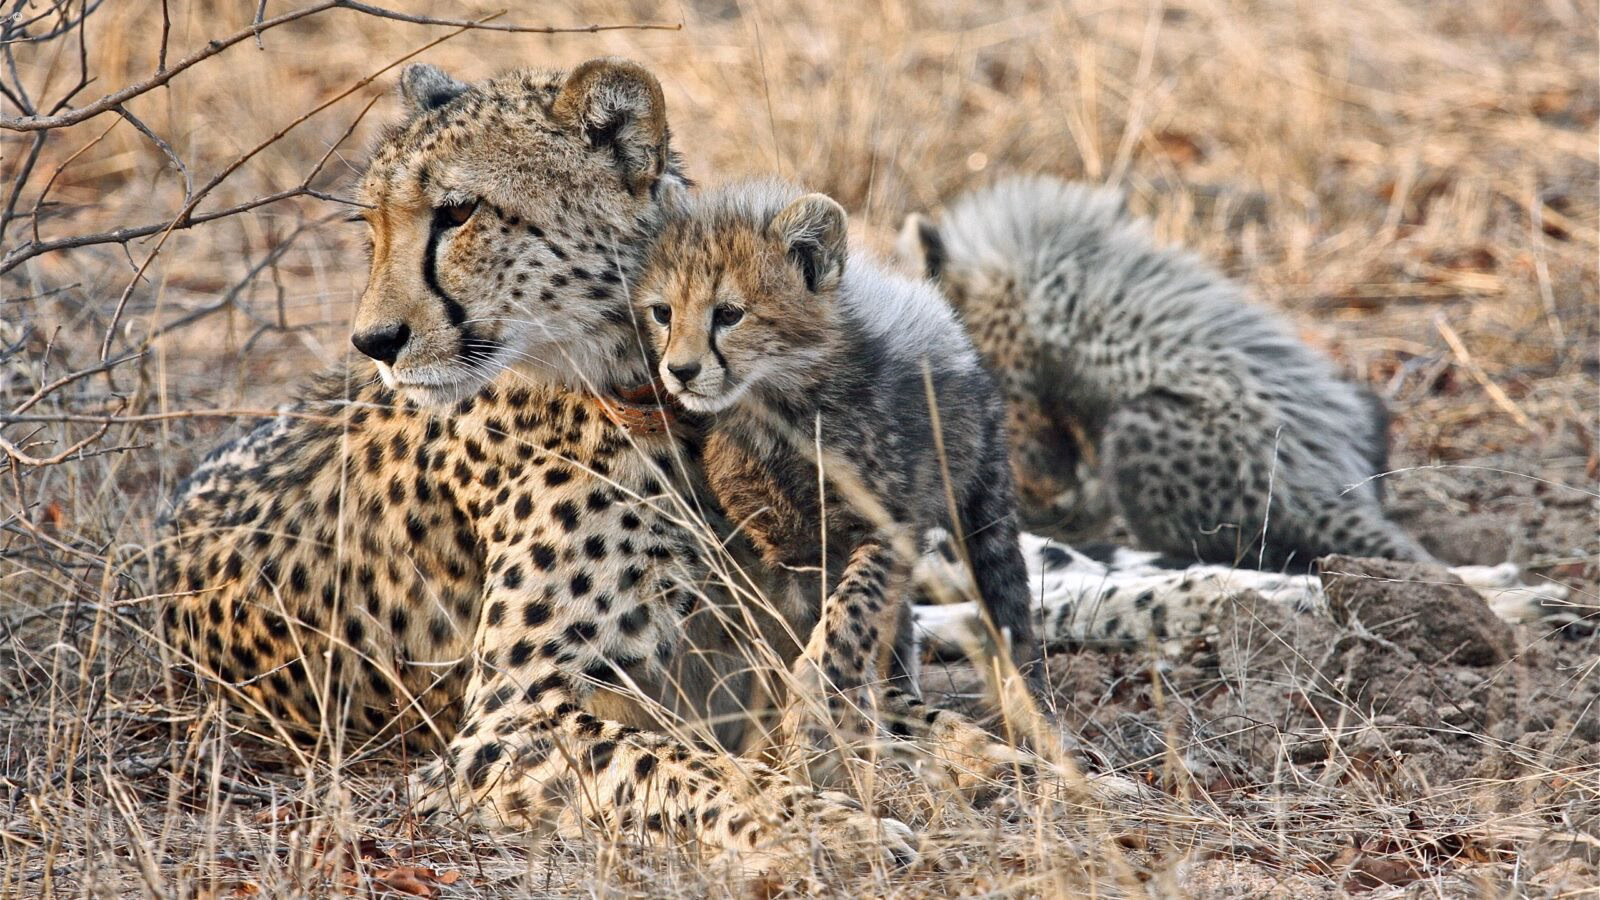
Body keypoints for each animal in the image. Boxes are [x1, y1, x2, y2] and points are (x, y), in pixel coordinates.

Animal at [156, 58, 924, 872]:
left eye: (459, 212)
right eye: (371, 226)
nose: (373, 342)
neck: (647, 387)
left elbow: (913, 716)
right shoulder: (506, 725)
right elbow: (695, 768)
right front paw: (838, 829)